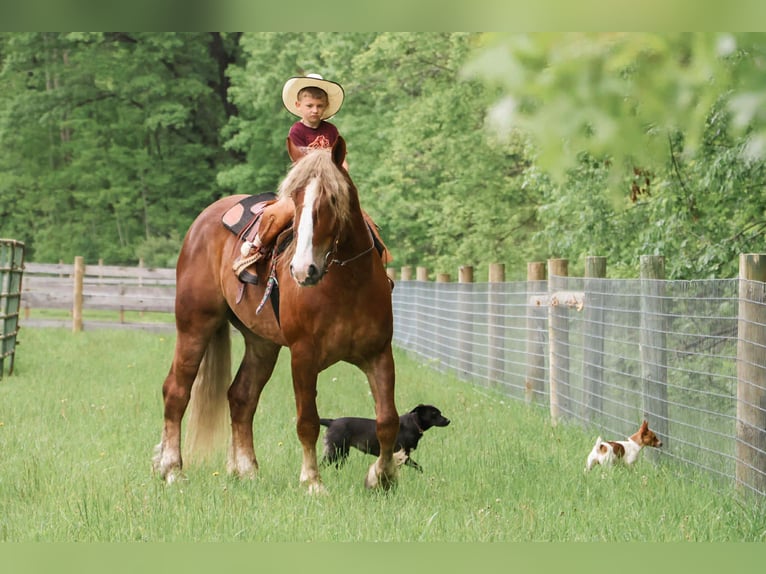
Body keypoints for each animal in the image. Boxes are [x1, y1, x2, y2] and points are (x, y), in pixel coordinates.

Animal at [151, 138, 399, 492]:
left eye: (333, 198)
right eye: (294, 199)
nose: (303, 269)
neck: (347, 284)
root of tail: (202, 222)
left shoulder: (379, 354)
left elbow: (388, 420)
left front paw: (383, 476)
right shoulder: (303, 357)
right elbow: (307, 420)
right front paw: (312, 481)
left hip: (262, 344)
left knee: (241, 397)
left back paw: (247, 470)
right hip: (195, 325)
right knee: (176, 391)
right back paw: (172, 468)